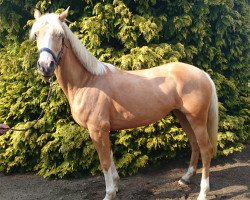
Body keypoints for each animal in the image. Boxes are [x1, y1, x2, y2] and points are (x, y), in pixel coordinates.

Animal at [30, 8, 218, 200]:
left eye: (59, 35)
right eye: (36, 34)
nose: (45, 66)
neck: (87, 82)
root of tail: (202, 73)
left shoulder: (97, 129)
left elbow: (104, 161)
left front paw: (109, 193)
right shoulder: (103, 130)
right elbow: (110, 156)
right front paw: (116, 185)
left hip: (197, 119)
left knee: (206, 149)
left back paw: (203, 192)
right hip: (183, 116)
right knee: (194, 144)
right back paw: (185, 179)